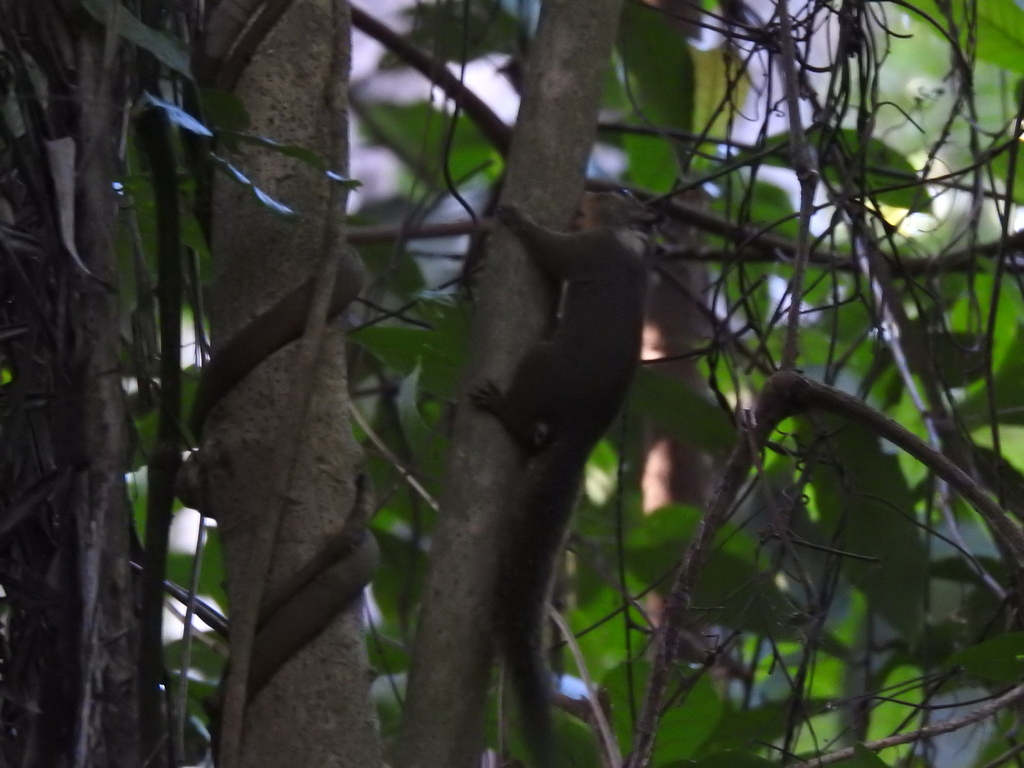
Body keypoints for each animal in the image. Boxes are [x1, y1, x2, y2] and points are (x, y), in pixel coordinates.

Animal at [472, 191, 654, 767]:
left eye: (619, 193)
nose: (589, 193)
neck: (629, 242)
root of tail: (582, 437)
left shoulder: (587, 250)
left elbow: (550, 251)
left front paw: (516, 219)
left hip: (541, 364)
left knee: (522, 416)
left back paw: (501, 409)